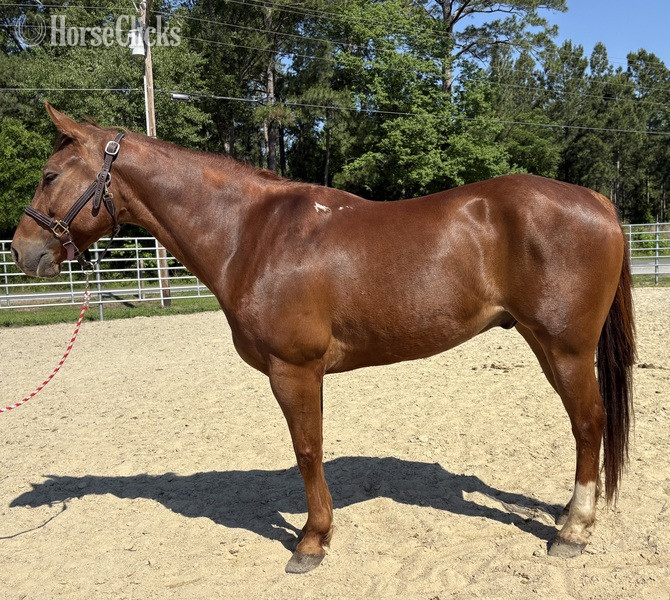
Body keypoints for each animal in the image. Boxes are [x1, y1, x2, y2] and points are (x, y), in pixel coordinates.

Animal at [11, 103, 635, 574]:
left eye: (49, 175)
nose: (22, 251)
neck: (250, 232)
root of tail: (601, 203)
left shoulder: (294, 370)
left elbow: (307, 451)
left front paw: (311, 542)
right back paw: (565, 516)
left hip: (565, 349)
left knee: (589, 423)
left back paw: (573, 532)